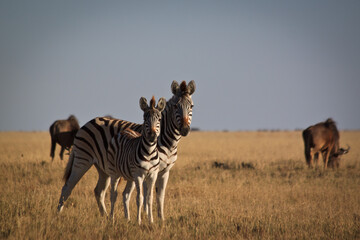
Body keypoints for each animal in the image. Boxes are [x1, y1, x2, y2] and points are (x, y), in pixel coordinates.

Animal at [57, 96, 167, 225]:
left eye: (159, 119)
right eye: (145, 119)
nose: (152, 136)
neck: (149, 152)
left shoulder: (153, 175)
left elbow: (149, 198)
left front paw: (151, 221)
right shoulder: (139, 175)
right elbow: (139, 198)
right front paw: (139, 221)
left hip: (105, 170)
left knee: (100, 191)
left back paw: (107, 216)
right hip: (87, 162)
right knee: (71, 188)